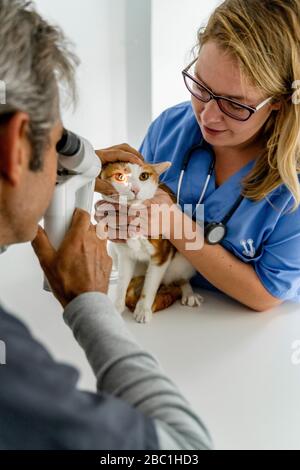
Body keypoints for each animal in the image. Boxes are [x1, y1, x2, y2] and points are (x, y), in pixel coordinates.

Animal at [96, 159, 204, 324]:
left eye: (144, 176)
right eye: (119, 176)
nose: (134, 189)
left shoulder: (161, 256)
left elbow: (151, 284)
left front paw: (143, 309)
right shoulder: (125, 254)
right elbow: (122, 281)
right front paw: (118, 305)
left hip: (184, 257)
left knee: (181, 278)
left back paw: (188, 292)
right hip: (114, 250)